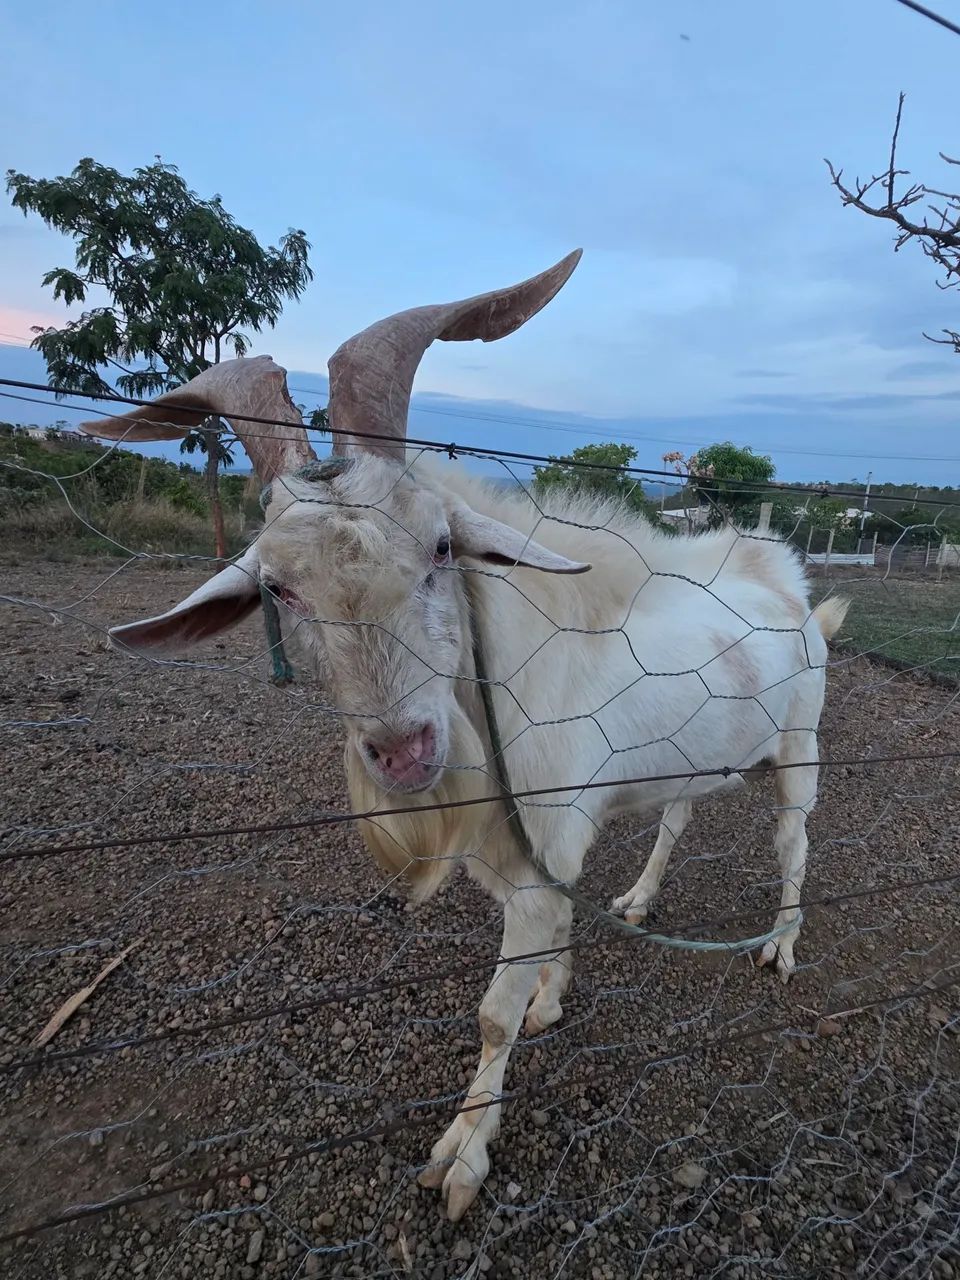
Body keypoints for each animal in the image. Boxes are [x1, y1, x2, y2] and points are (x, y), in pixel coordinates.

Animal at [86, 251, 848, 1221]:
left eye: (443, 548)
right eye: (279, 589)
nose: (405, 751)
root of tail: (787, 577)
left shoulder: (541, 848)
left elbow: (491, 1010)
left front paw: (461, 1158)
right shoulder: (538, 851)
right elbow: (554, 936)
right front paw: (550, 1002)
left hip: (801, 742)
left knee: (793, 839)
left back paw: (780, 944)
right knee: (679, 818)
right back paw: (640, 898)